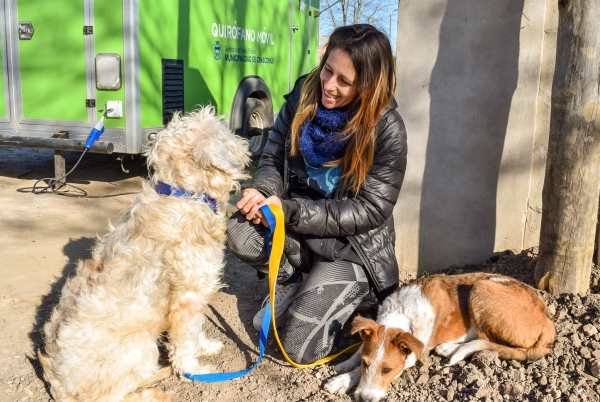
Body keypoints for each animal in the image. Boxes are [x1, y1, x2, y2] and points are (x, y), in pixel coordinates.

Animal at [39, 107, 251, 402]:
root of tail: (61, 386)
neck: (183, 194)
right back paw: (156, 392)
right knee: (115, 396)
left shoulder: (194, 297)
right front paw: (195, 370)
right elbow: (185, 341)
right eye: (224, 130)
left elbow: (196, 331)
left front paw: (205, 346)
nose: (248, 139)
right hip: (141, 346)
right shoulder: (187, 297)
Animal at [326, 274, 556, 402]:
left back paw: (448, 348)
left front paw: (342, 381)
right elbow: (359, 351)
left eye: (387, 370)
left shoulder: (413, 354)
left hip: (481, 288)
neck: (402, 314)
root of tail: (548, 322)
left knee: (489, 342)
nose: (364, 399)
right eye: (367, 364)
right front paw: (345, 366)